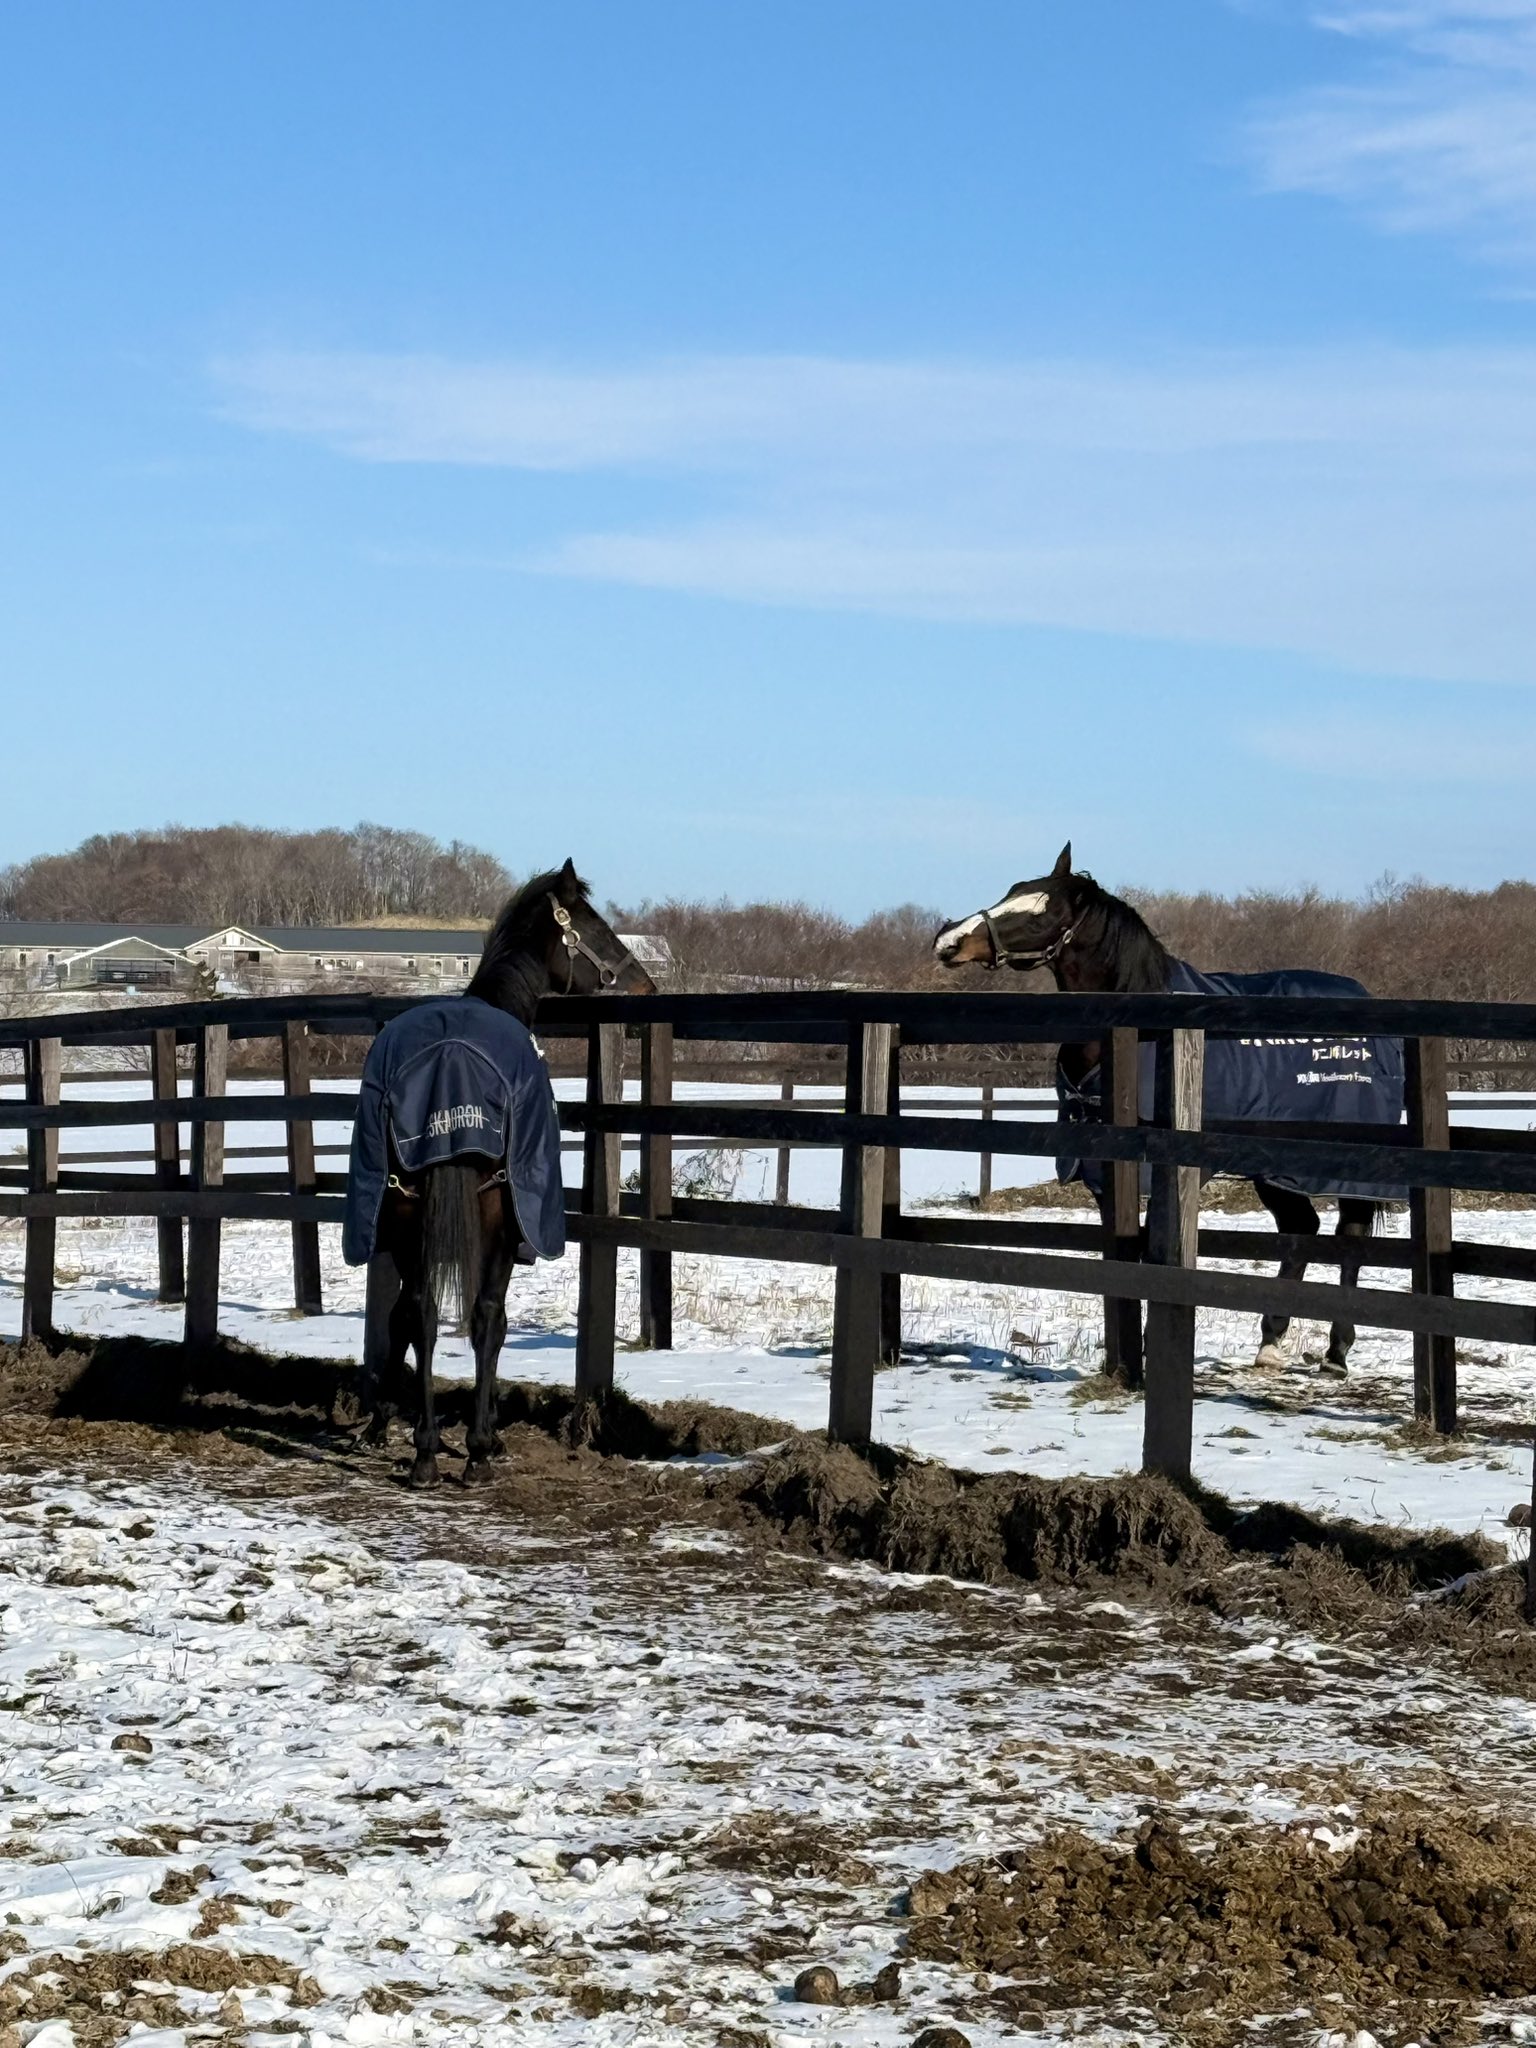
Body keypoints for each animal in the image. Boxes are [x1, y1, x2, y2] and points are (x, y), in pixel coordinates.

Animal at [344, 861, 655, 1485]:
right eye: (595, 924)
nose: (645, 987)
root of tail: (445, 1068)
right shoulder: (509, 1236)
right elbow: (495, 1320)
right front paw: (484, 1437)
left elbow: (403, 1320)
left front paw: (385, 1424)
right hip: (494, 1222)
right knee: (479, 1316)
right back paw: (471, 1450)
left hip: (404, 1217)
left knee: (417, 1314)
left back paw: (424, 1452)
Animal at [932, 844, 1404, 1377]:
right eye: (1010, 892)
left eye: (1039, 912)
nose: (948, 941)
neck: (1137, 1031)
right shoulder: (1103, 1173)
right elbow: (1120, 1250)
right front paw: (1120, 1360)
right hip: (1276, 1169)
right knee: (1300, 1229)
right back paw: (1270, 1344)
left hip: (1349, 1162)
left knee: (1351, 1233)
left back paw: (1336, 1354)